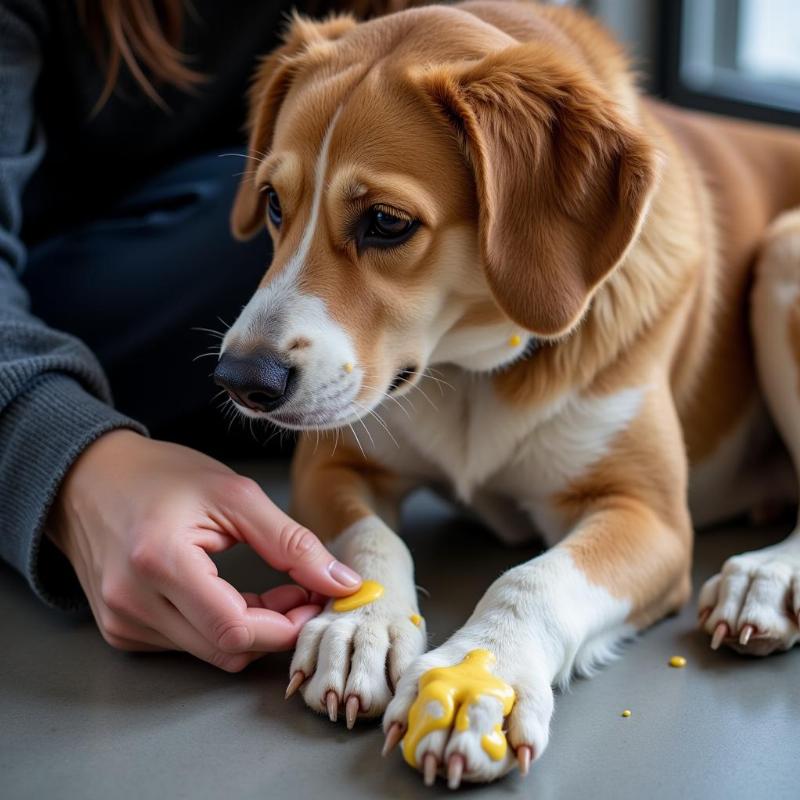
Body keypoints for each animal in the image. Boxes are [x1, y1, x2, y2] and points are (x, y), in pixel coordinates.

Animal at [211, 0, 800, 788]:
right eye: (274, 203)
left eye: (387, 222)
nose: (243, 381)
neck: (468, 370)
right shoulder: (330, 465)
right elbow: (367, 541)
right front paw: (360, 625)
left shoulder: (648, 515)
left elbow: (533, 580)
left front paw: (476, 675)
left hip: (785, 251)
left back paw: (768, 575)